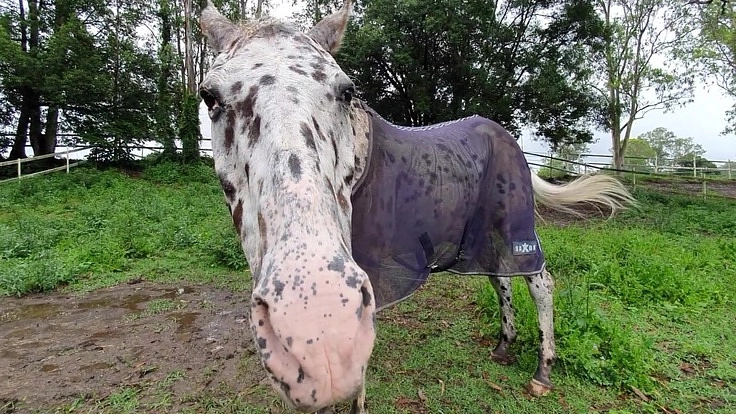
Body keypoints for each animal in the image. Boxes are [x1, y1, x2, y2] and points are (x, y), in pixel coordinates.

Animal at [198, 1, 635, 412]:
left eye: (346, 91)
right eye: (209, 97)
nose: (314, 328)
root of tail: (507, 137)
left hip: (514, 222)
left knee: (539, 282)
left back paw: (543, 370)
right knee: (501, 277)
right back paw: (504, 346)